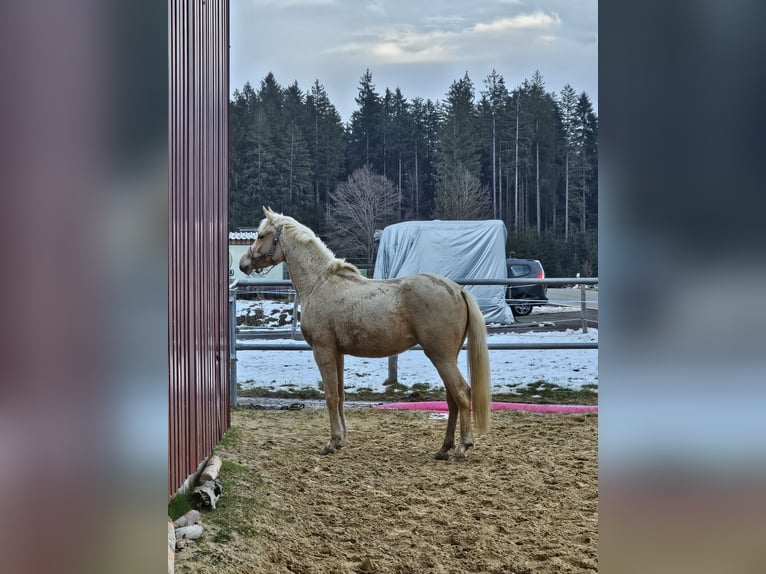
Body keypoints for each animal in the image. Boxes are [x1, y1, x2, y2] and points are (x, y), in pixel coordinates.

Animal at [239, 207, 491, 460]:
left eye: (261, 235)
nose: (243, 264)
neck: (320, 283)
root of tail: (457, 290)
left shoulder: (323, 350)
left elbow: (330, 396)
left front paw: (332, 442)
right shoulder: (338, 353)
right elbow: (340, 395)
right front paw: (341, 439)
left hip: (441, 357)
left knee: (462, 394)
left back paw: (462, 447)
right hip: (447, 357)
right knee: (452, 399)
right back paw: (444, 448)